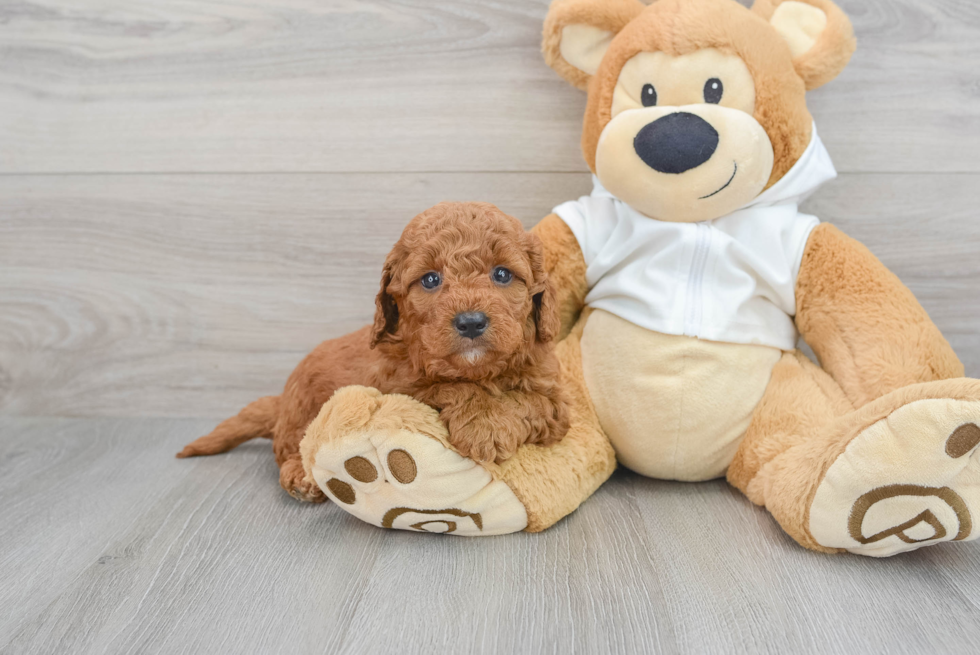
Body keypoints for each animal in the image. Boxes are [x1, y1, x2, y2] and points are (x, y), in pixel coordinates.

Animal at [180, 204, 572, 502]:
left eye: (502, 274)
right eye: (430, 280)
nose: (471, 322)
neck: (477, 370)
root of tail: (281, 402)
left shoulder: (555, 400)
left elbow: (529, 400)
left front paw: (489, 423)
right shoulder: (397, 384)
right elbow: (445, 385)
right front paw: (482, 420)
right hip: (302, 409)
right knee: (291, 447)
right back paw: (301, 477)